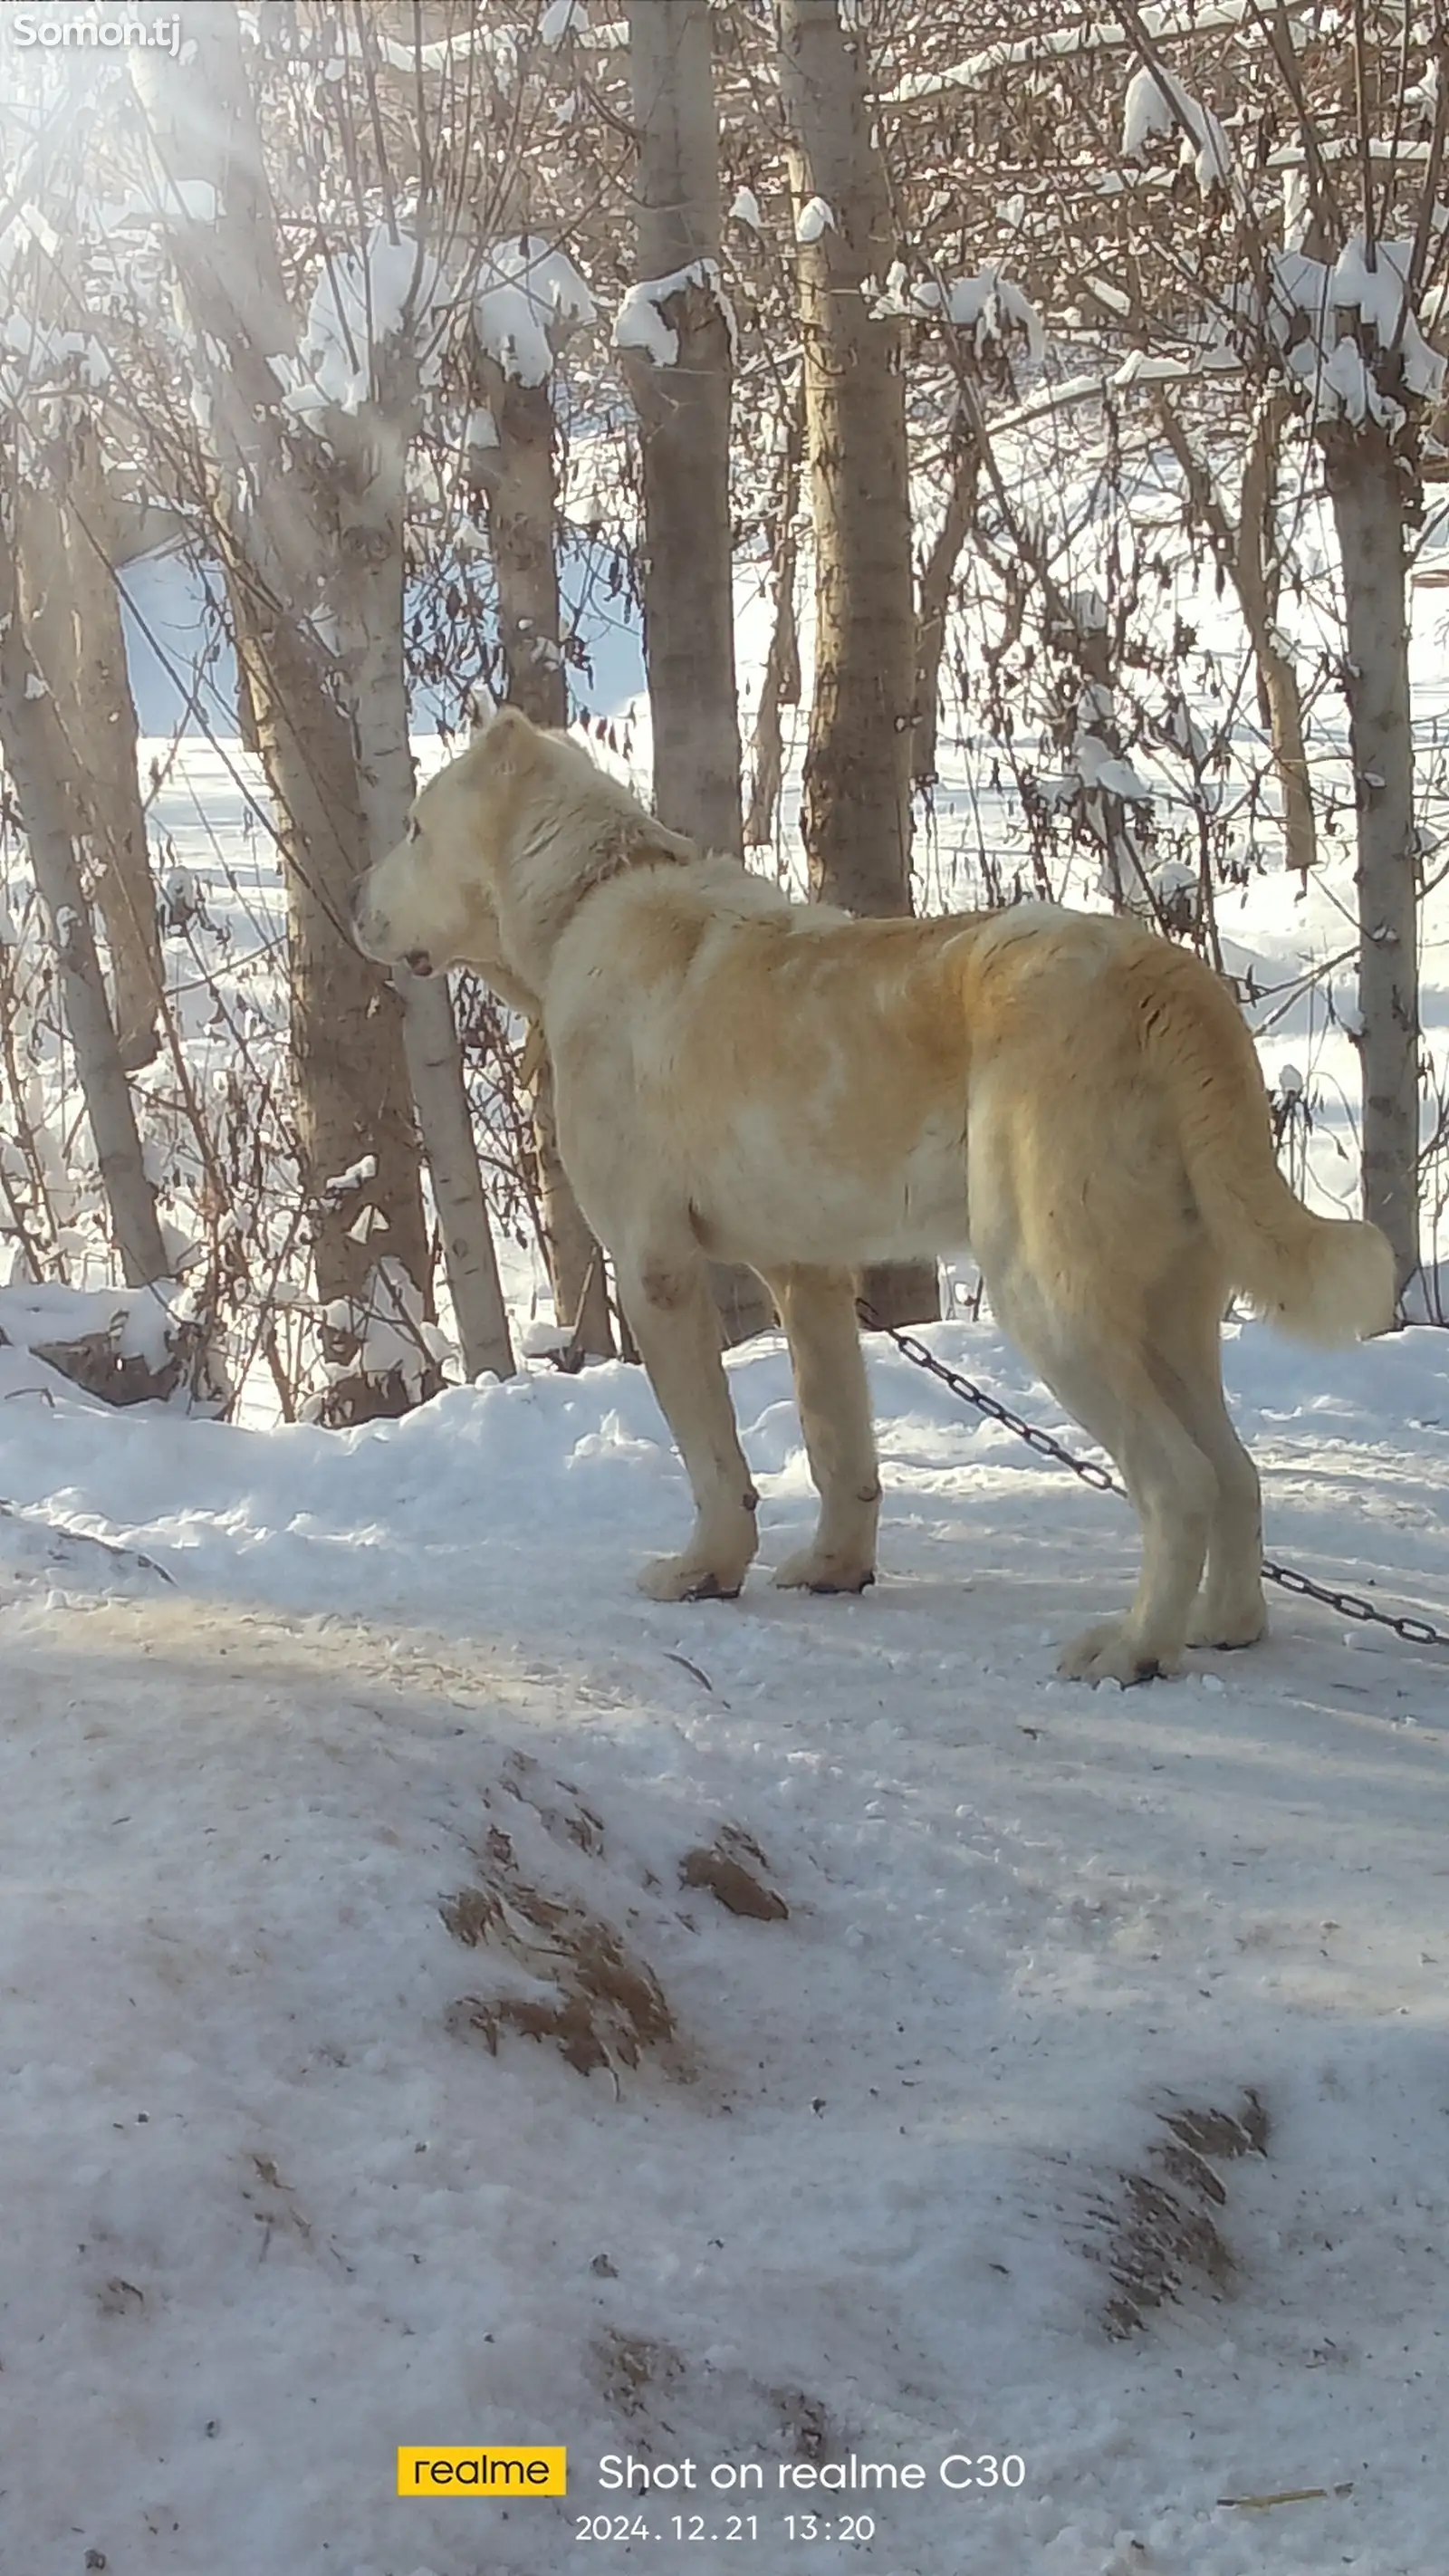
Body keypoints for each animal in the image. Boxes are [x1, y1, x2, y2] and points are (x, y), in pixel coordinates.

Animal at [352, 710, 1389, 1689]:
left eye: (413, 828)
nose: (357, 905)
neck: (586, 900)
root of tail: (1160, 975)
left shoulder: (657, 1271)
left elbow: (712, 1458)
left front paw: (704, 1572)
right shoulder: (807, 1278)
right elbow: (835, 1442)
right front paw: (833, 1569)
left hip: (1047, 1293)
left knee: (1178, 1483)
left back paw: (1132, 1649)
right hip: (1168, 1306)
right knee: (1235, 1473)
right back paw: (1223, 1626)